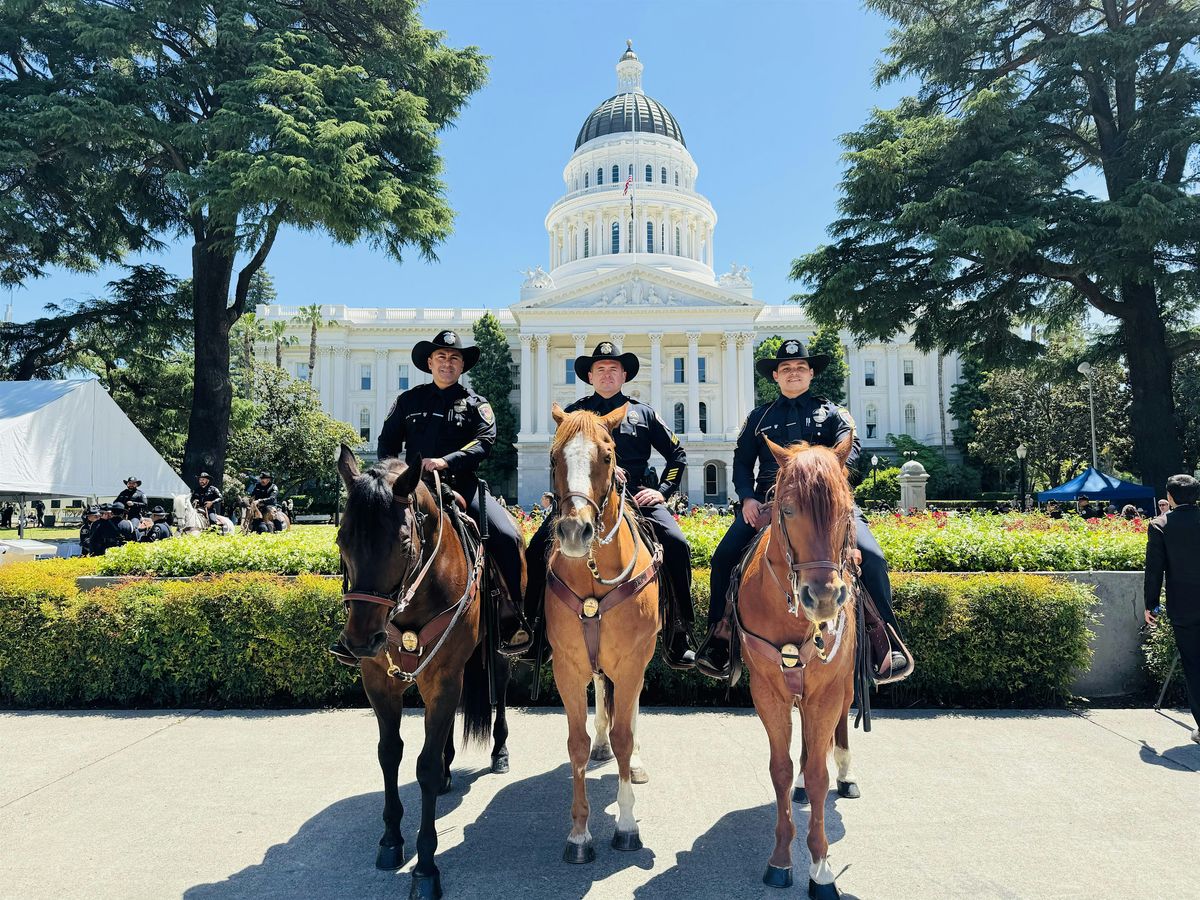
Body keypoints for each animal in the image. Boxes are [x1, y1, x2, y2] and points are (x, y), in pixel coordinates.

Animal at [336, 446, 513, 900]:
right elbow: (390, 754)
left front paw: (426, 865)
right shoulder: (379, 682)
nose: (360, 641)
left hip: (495, 651)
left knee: (501, 693)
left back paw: (499, 751)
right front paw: (390, 838)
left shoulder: (445, 677)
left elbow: (425, 767)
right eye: (342, 538)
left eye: (402, 542)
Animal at [734, 434, 859, 897]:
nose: (822, 599)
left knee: (837, 731)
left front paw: (820, 866)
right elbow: (782, 769)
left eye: (846, 509)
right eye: (786, 509)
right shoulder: (767, 691)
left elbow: (820, 773)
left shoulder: (826, 690)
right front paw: (782, 858)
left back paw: (846, 772)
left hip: (845, 685)